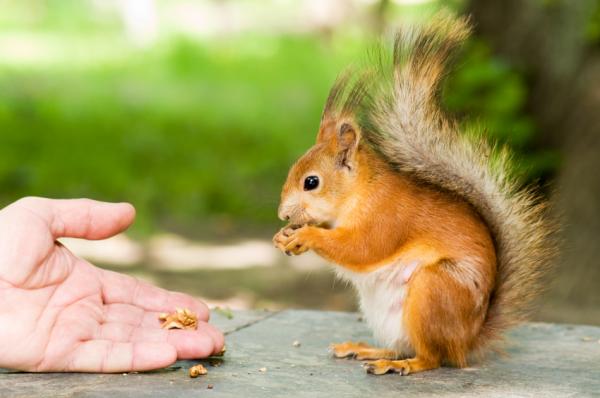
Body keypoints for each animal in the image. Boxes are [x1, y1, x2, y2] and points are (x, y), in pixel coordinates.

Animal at [274, 14, 556, 376]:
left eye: (311, 182)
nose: (282, 214)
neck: (361, 191)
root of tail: (467, 340)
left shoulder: (388, 217)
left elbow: (361, 248)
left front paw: (305, 236)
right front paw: (285, 235)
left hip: (432, 290)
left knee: (431, 357)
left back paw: (402, 365)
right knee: (403, 345)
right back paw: (366, 350)